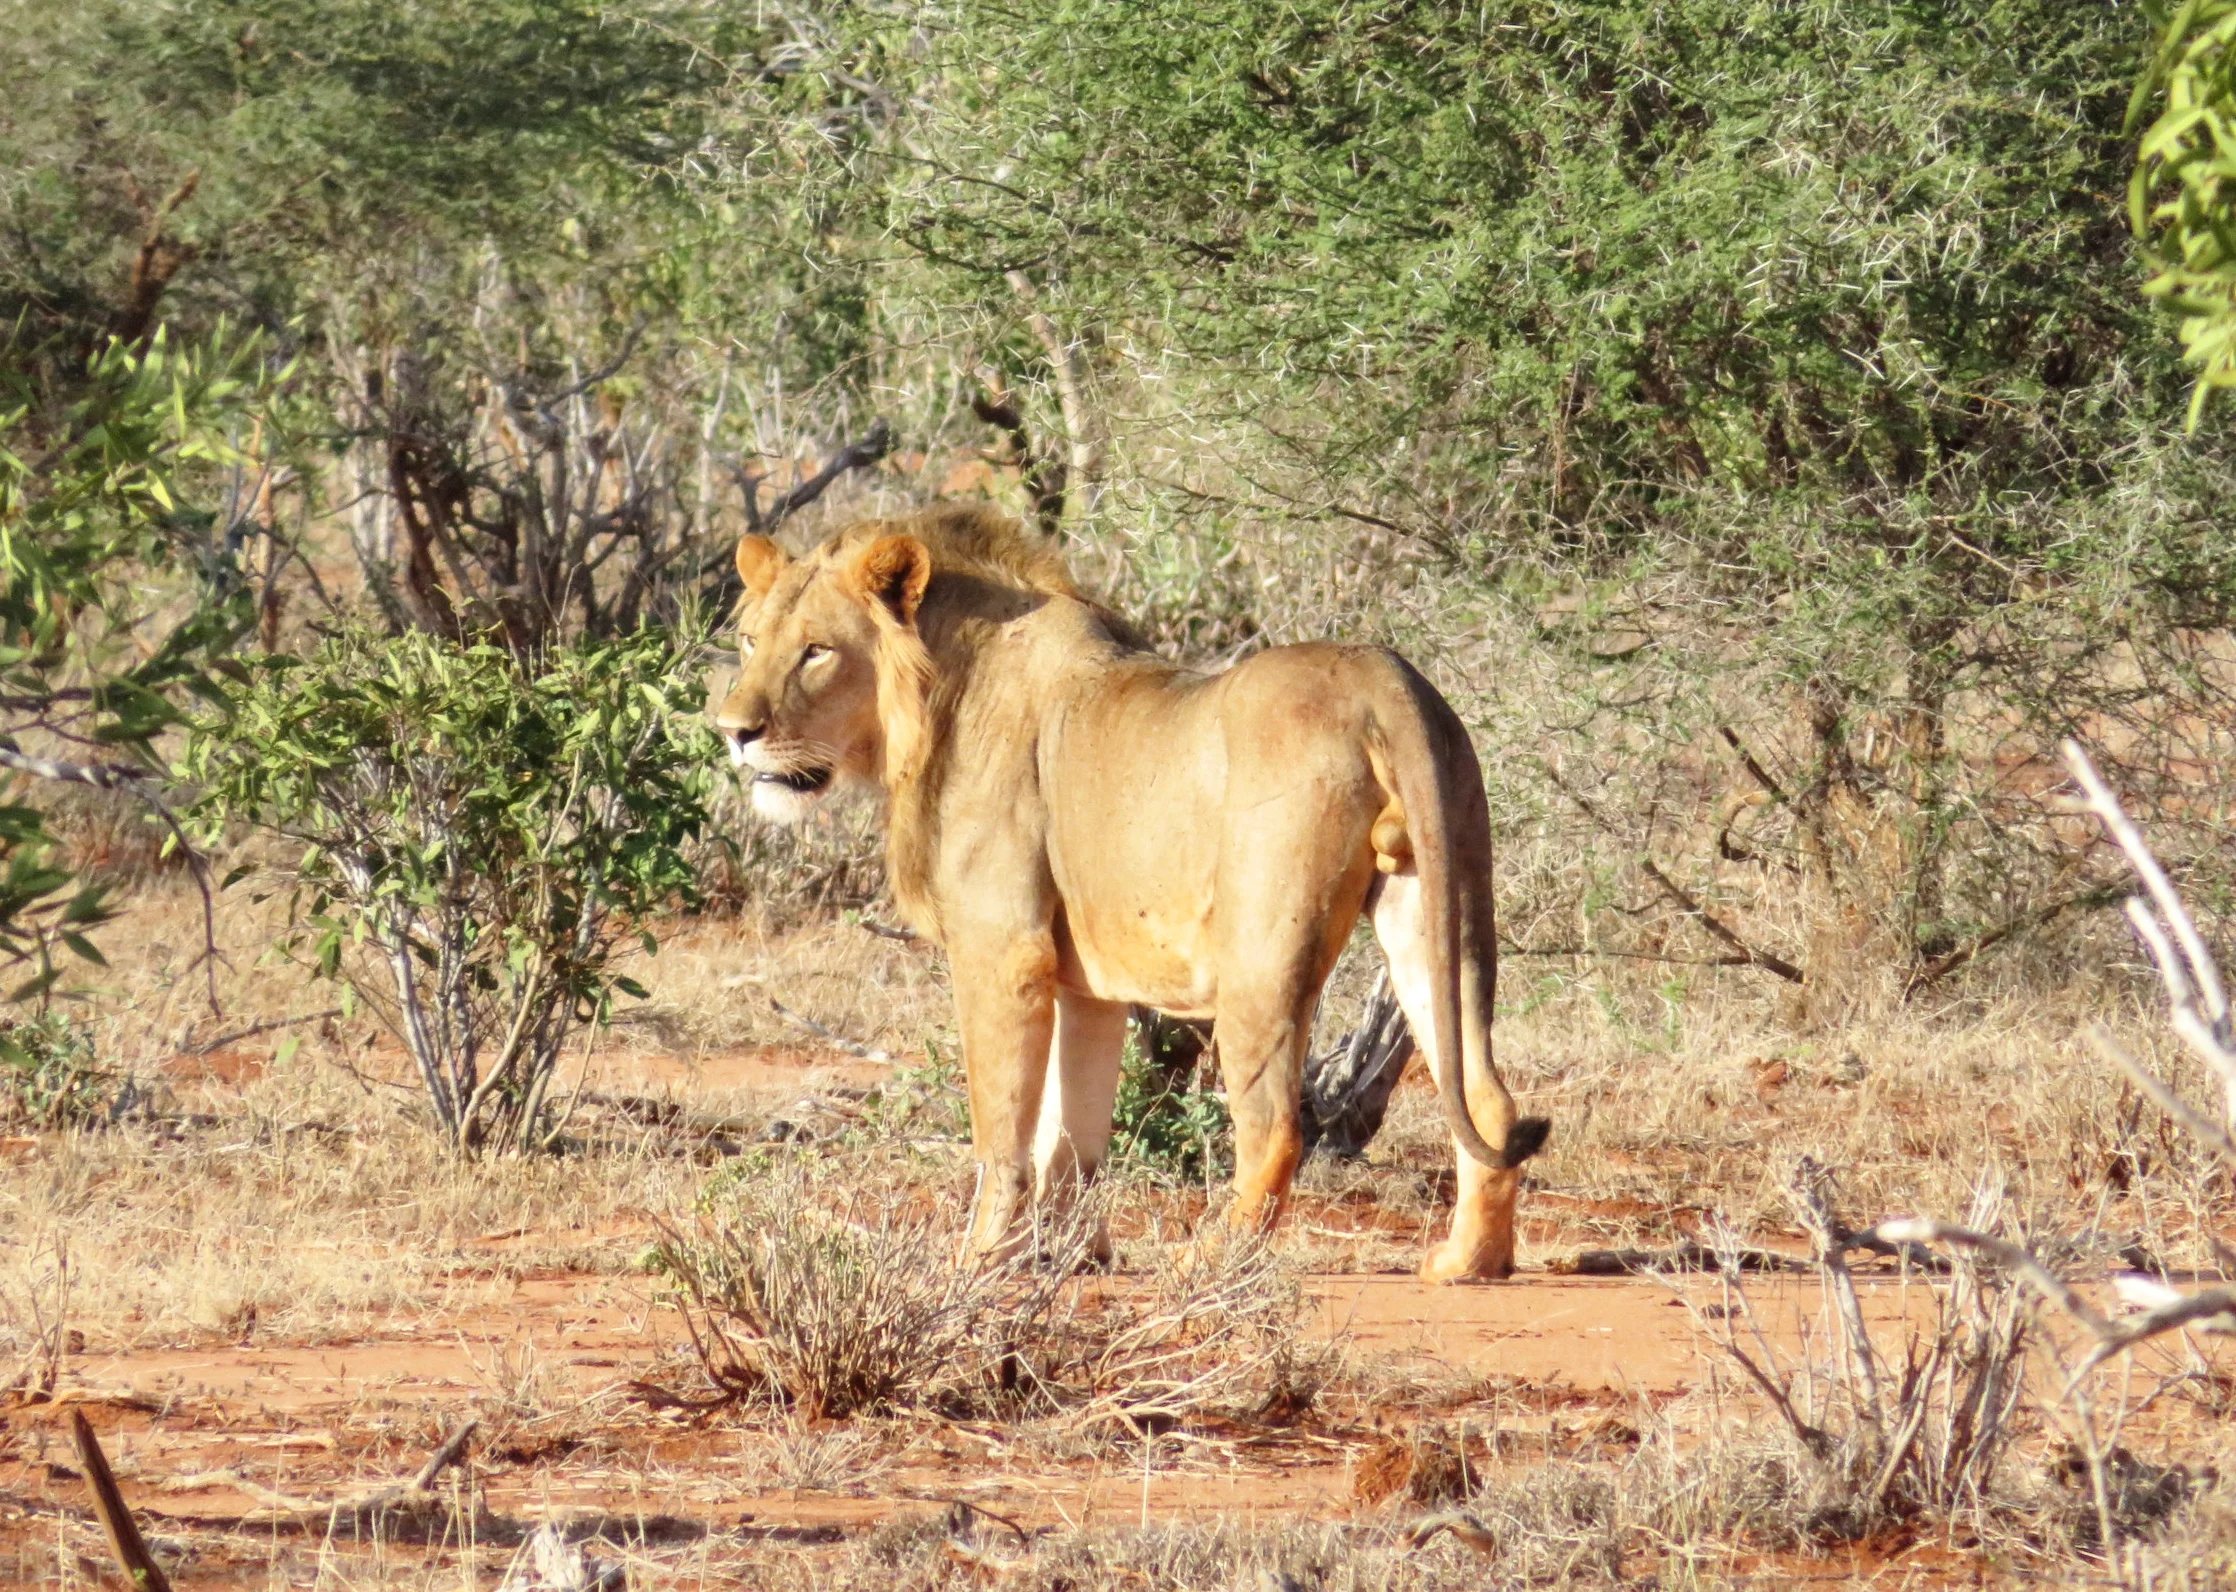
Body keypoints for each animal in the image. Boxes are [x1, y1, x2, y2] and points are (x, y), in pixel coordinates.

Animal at [714, 503, 1549, 1282]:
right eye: (751, 642)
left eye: (817, 651)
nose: (732, 730)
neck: (932, 696)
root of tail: (1385, 677)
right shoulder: (1085, 981)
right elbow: (1071, 1135)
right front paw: (1071, 1256)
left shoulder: (1002, 950)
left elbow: (1002, 1130)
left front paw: (981, 1260)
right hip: (1440, 901)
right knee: (1486, 1096)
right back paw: (1470, 1261)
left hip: (1264, 951)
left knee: (1276, 1125)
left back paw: (1210, 1259)